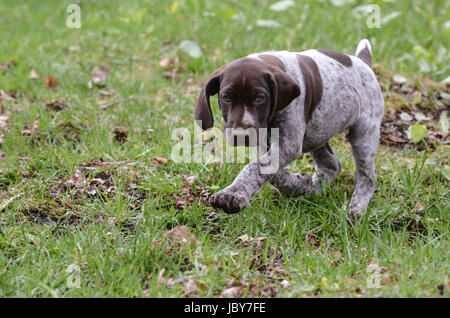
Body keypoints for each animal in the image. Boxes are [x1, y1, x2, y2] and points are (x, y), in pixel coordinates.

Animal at [195, 39, 384, 219]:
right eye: (226, 97)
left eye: (260, 98)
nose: (241, 136)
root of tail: (362, 62)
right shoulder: (265, 143)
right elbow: (271, 171)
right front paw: (299, 184)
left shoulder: (288, 144)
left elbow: (256, 166)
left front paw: (233, 194)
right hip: (317, 132)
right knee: (330, 165)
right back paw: (312, 189)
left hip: (364, 133)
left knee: (367, 178)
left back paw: (356, 209)